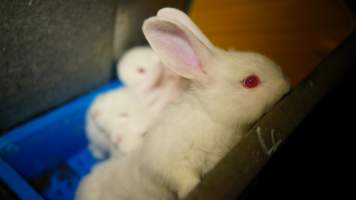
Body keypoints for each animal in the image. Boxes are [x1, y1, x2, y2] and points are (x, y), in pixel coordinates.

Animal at [77, 7, 290, 199]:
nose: (286, 86)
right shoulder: (170, 164)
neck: (212, 118)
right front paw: (192, 188)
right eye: (250, 81)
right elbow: (182, 178)